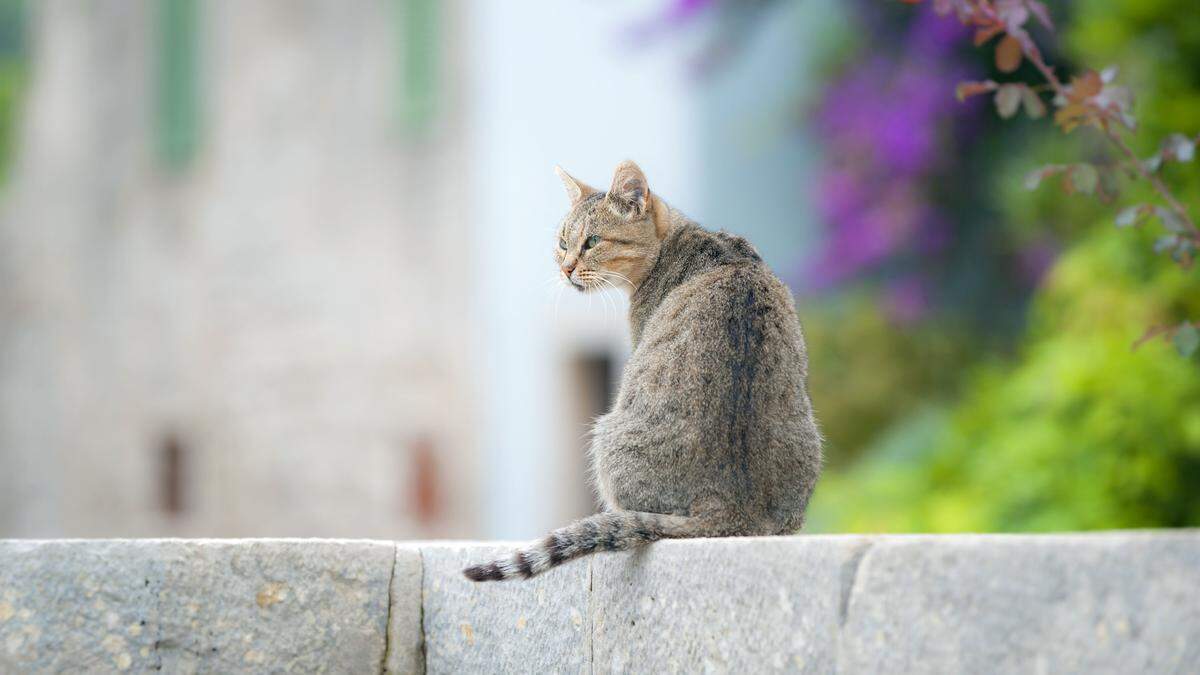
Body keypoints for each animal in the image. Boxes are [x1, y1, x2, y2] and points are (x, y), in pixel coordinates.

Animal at [460, 158, 825, 578]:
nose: (566, 268)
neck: (689, 241)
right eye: (563, 243)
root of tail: (727, 504)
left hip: (606, 434)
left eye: (592, 242)